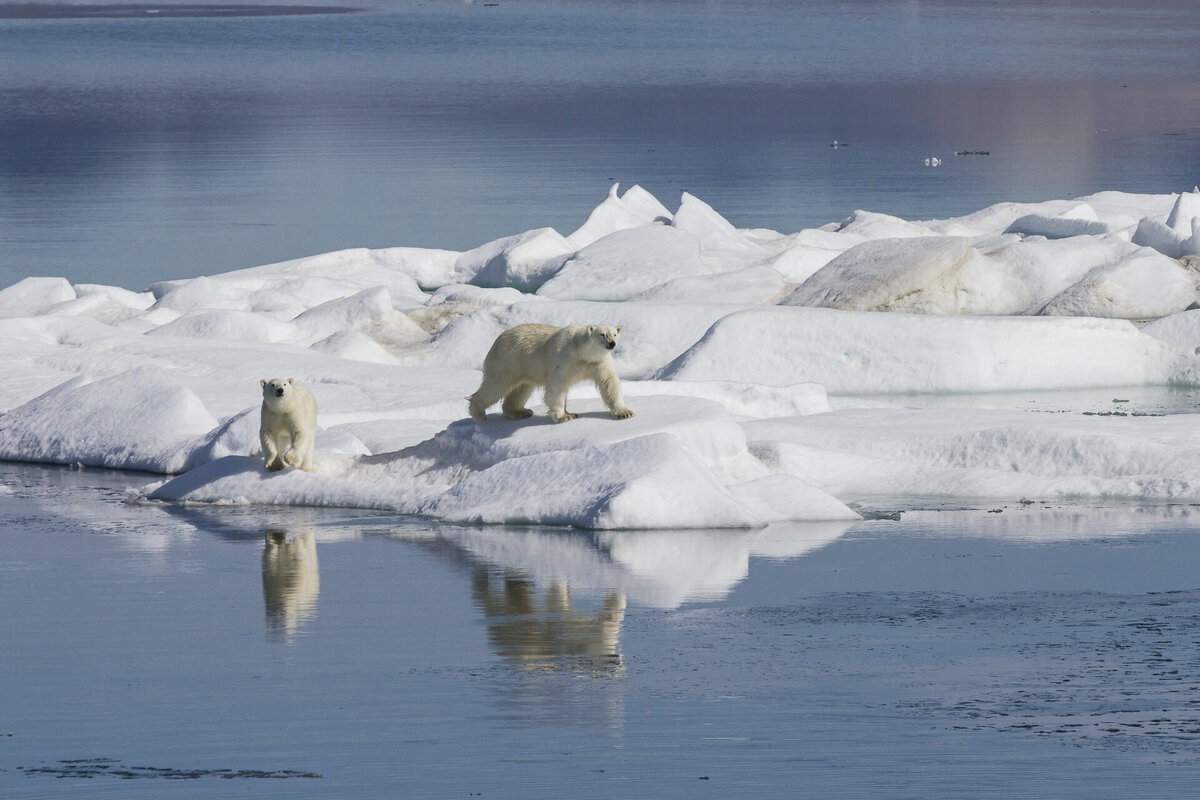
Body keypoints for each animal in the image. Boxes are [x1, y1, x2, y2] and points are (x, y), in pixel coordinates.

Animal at [468, 323, 638, 424]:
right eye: (602, 334)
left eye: (614, 334)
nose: (612, 344)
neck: (582, 352)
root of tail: (496, 341)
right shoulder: (564, 358)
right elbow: (557, 385)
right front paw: (565, 416)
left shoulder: (599, 362)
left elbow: (608, 382)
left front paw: (624, 412)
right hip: (508, 361)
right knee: (496, 385)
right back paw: (478, 412)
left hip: (523, 367)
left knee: (521, 389)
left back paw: (520, 412)